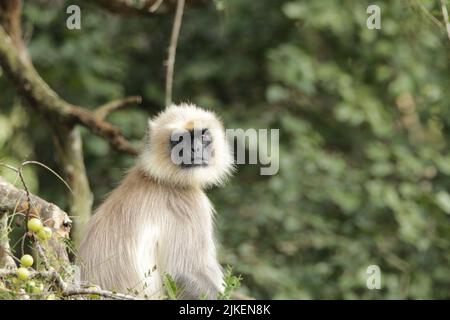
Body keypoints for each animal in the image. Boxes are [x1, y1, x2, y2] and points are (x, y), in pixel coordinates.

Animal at [78, 104, 234, 298]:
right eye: (179, 139)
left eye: (203, 135)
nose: (195, 150)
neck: (163, 180)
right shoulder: (188, 204)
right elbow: (182, 273)